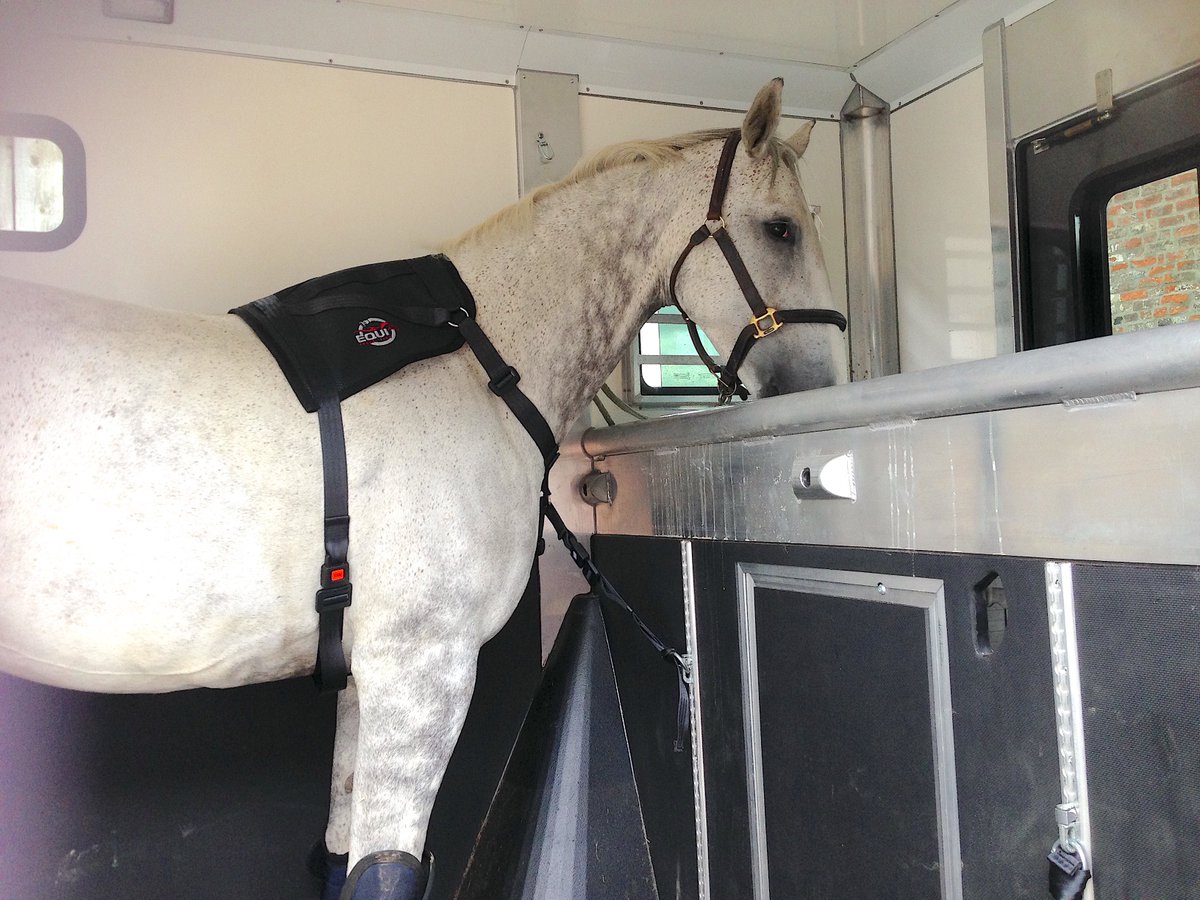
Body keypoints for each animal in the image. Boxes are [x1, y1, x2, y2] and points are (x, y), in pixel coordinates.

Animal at [0, 78, 846, 899]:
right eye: (780, 230)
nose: (824, 384)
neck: (480, 364)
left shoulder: (364, 678)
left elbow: (340, 858)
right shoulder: (421, 673)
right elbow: (386, 872)